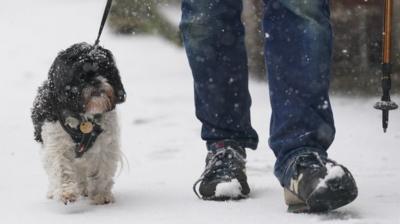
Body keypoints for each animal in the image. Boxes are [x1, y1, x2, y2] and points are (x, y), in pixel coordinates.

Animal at [31, 42, 125, 205]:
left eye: (105, 70)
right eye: (80, 76)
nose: (95, 81)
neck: (83, 118)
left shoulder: (106, 145)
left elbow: (102, 169)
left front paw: (101, 194)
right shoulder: (56, 144)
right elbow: (61, 168)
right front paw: (66, 193)